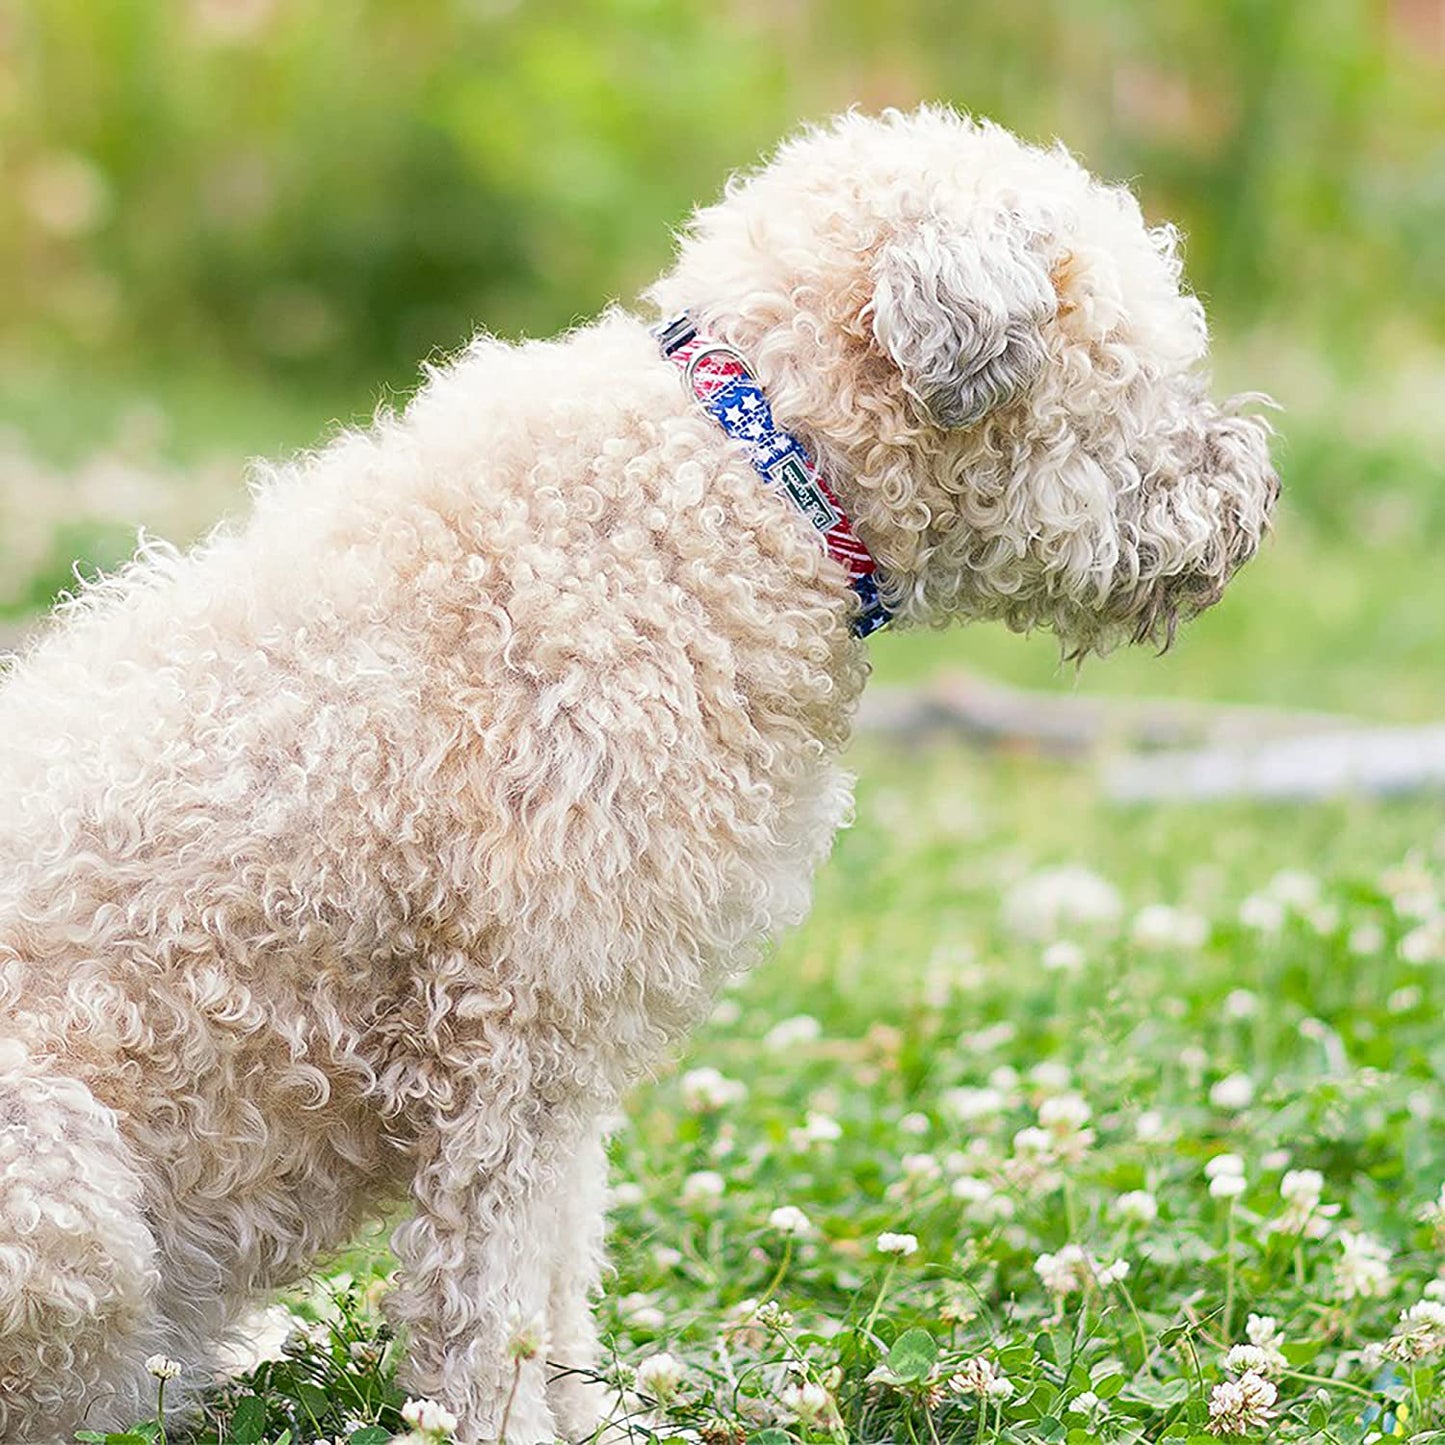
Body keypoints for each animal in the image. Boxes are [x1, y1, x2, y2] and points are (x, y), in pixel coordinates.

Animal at [0, 106, 1277, 1439]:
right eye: (1144, 371)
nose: (1258, 490)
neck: (748, 483)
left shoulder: (568, 1063)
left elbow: (559, 1292)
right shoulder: (508, 1050)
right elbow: (491, 1306)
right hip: (68, 1195)